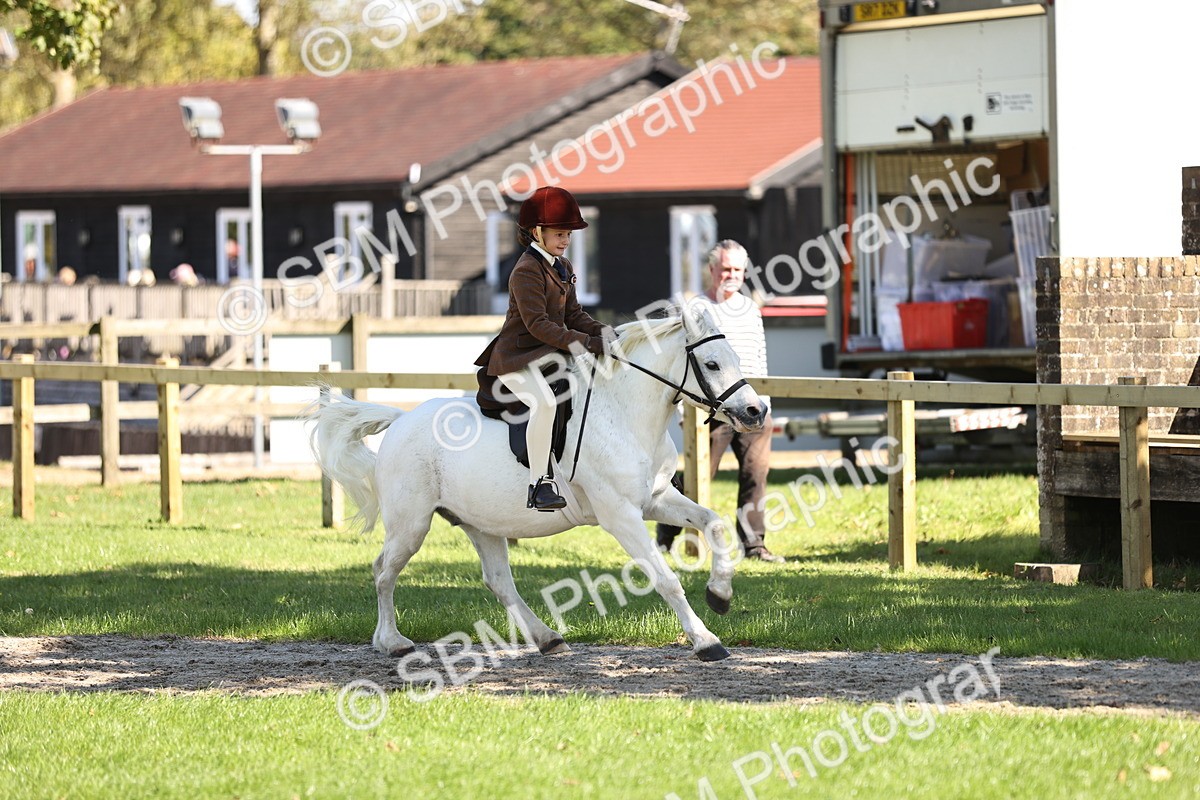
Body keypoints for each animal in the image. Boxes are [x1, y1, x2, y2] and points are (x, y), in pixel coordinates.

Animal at [307, 306, 766, 662]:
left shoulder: (656, 500)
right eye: (711, 364)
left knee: (498, 581)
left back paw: (547, 639)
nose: (756, 411)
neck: (625, 413)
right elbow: (666, 578)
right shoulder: (620, 515)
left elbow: (714, 523)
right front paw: (706, 641)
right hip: (411, 525)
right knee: (383, 571)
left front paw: (720, 594)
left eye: (736, 359)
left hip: (481, 523)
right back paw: (392, 642)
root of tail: (402, 419)